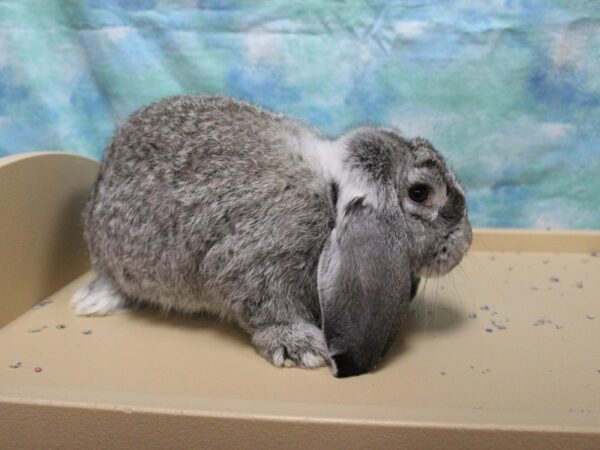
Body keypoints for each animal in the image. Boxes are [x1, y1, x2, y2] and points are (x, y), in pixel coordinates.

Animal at [71, 95, 474, 376]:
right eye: (420, 193)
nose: (466, 242)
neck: (330, 195)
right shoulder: (259, 264)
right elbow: (269, 312)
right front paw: (302, 349)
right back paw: (92, 302)